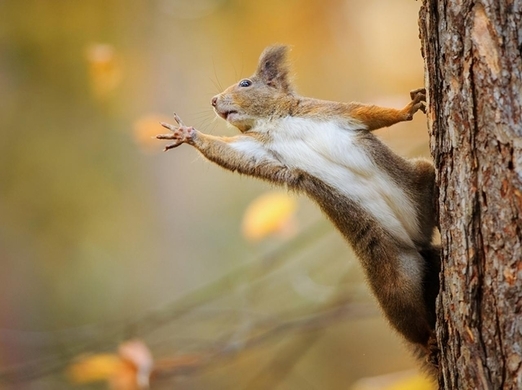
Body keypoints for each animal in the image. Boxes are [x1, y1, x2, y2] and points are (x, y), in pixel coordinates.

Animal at [155, 45, 438, 368]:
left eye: (245, 83)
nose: (214, 100)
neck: (276, 122)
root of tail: (417, 242)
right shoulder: (258, 149)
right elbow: (229, 153)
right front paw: (188, 134)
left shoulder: (328, 112)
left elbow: (368, 113)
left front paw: (407, 109)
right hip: (393, 277)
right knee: (407, 316)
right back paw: (428, 340)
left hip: (420, 179)